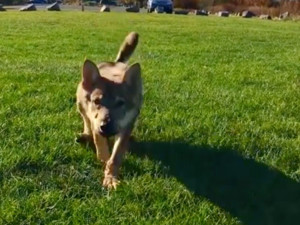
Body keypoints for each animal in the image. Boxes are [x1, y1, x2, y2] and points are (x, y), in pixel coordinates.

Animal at [77, 31, 143, 189]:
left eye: (120, 103)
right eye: (96, 101)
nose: (105, 126)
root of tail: (116, 62)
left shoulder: (126, 127)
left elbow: (115, 158)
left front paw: (110, 178)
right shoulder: (96, 123)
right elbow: (101, 149)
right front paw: (104, 162)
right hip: (80, 104)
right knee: (86, 122)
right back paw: (85, 135)